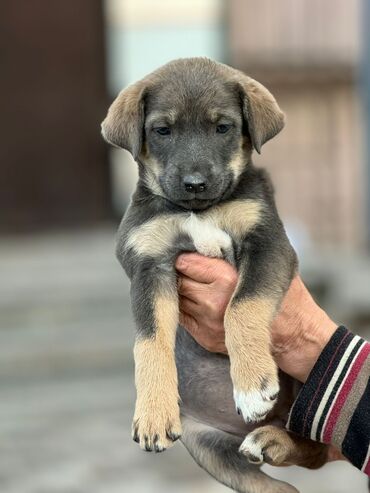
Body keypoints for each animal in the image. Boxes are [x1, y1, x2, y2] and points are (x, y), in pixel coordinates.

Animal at [101, 58, 326, 492]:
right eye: (163, 130)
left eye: (222, 127)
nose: (195, 184)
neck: (199, 212)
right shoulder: (148, 264)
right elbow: (149, 341)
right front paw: (153, 414)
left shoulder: (268, 242)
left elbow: (241, 307)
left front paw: (252, 384)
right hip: (212, 451)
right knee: (282, 481)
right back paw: (268, 443)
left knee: (315, 448)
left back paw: (268, 437)